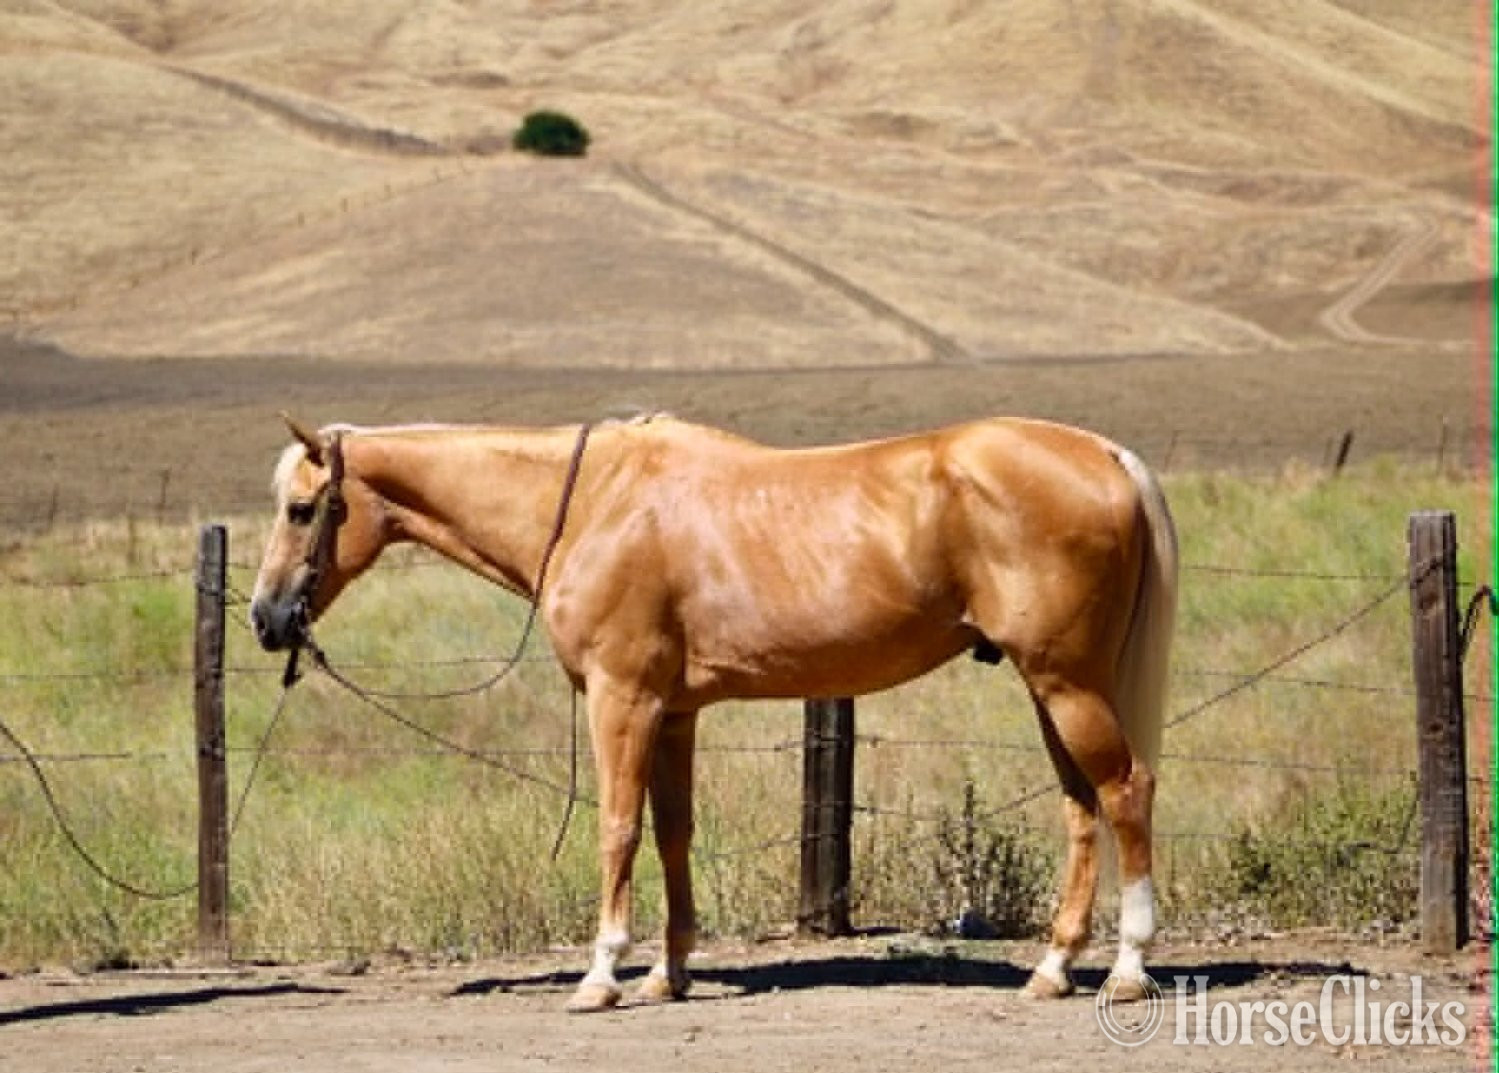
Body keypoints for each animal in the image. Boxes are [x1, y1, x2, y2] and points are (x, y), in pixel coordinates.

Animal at [249, 412, 1177, 1013]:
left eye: (301, 508)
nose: (265, 618)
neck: (593, 503)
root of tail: (1101, 452)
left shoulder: (623, 698)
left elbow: (617, 828)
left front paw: (602, 976)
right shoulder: (673, 711)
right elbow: (671, 832)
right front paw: (670, 972)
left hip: (1065, 680)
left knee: (1125, 791)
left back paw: (1128, 967)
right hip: (1050, 686)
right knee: (1081, 807)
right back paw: (1053, 966)